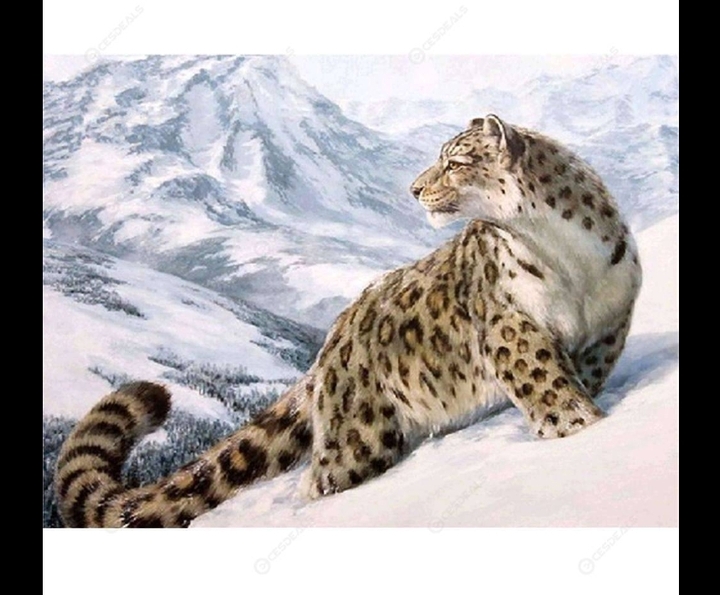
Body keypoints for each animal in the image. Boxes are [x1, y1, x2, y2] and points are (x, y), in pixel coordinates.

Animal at [54, 114, 642, 528]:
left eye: (454, 162)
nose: (414, 189)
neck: (566, 256)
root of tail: (331, 341)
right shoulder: (511, 327)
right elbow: (546, 384)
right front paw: (578, 429)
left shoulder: (610, 320)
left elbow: (582, 373)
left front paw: (587, 420)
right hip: (360, 437)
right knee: (322, 481)